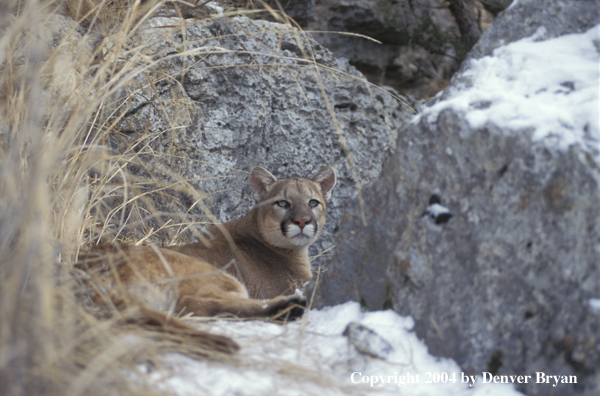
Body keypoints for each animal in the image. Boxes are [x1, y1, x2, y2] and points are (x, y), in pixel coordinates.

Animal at [77, 166, 336, 332]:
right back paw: (289, 307)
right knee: (194, 303)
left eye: (313, 202)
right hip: (216, 276)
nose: (302, 221)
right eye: (282, 203)